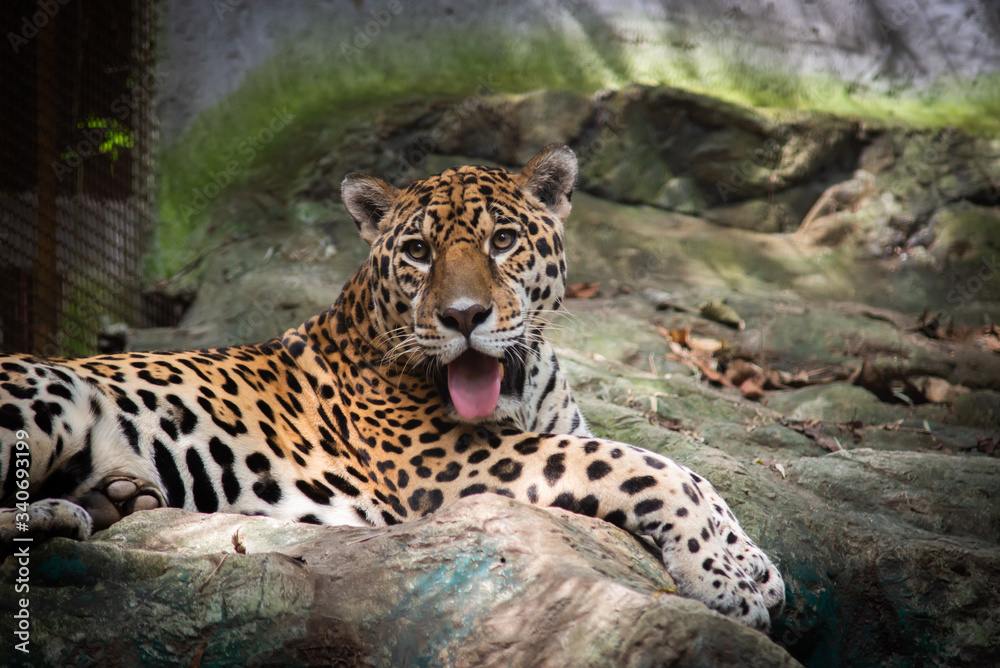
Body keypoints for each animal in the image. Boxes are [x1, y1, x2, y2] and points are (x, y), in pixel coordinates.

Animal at [0, 144, 784, 631]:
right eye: (417, 251)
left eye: (503, 241)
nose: (463, 316)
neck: (522, 383)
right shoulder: (449, 463)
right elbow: (651, 466)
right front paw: (722, 578)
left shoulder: (558, 431)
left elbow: (692, 474)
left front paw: (753, 564)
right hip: (52, 392)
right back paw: (68, 512)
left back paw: (110, 499)